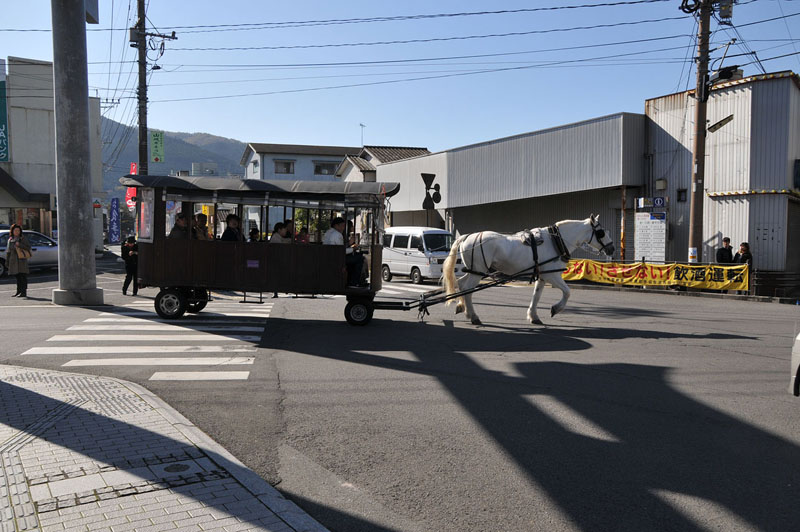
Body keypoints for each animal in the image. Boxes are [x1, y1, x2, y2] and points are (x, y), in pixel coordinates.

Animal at [440, 215, 616, 324]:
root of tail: (467, 236)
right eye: (601, 232)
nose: (612, 248)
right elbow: (567, 292)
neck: (556, 241)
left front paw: (533, 316)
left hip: (474, 271)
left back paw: (464, 309)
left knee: (461, 284)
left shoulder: (543, 276)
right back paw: (473, 316)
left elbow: (536, 296)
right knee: (467, 289)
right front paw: (555, 309)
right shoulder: (553, 276)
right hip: (478, 271)